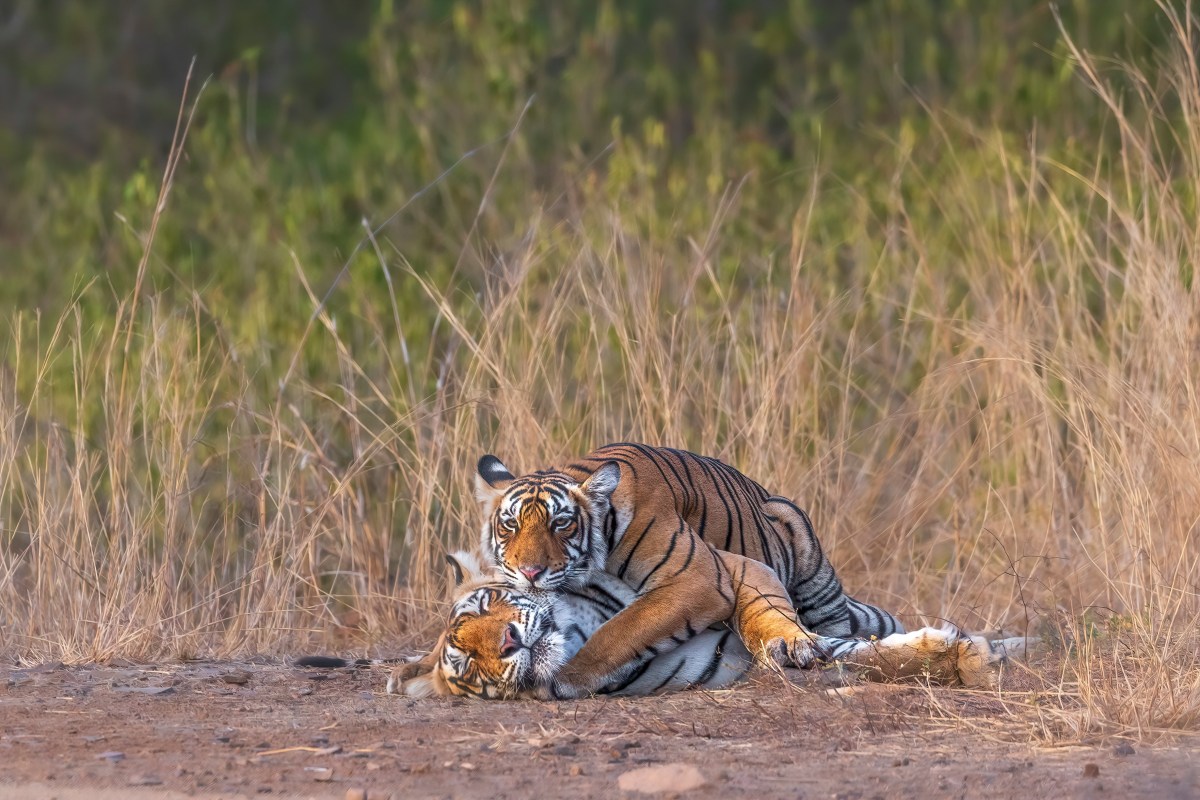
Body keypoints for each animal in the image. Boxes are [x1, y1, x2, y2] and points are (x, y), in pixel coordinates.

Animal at [473, 443, 908, 697]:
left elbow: (621, 630)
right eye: (510, 524)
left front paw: (561, 677)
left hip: (812, 569)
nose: (530, 572)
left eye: (561, 524)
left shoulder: (697, 577)